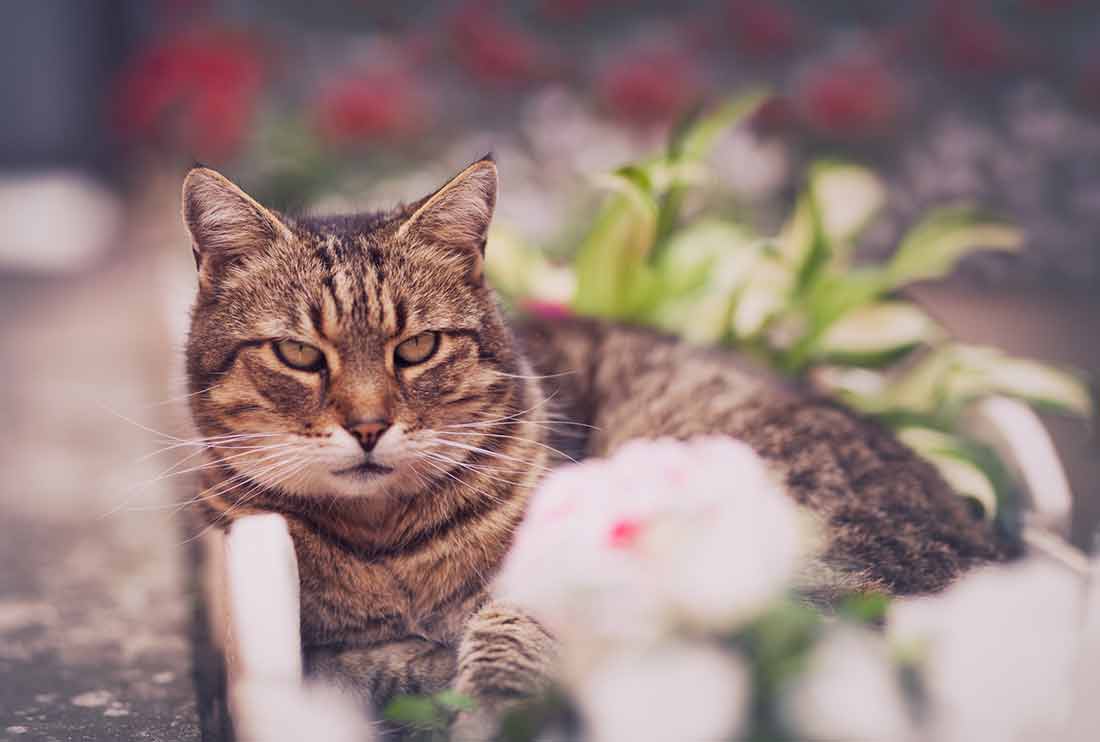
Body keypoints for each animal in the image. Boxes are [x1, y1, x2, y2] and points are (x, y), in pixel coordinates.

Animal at [182, 158, 1007, 738]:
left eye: (416, 348)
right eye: (298, 353)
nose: (367, 425)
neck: (388, 544)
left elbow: (505, 634)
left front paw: (480, 696)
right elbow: (353, 665)